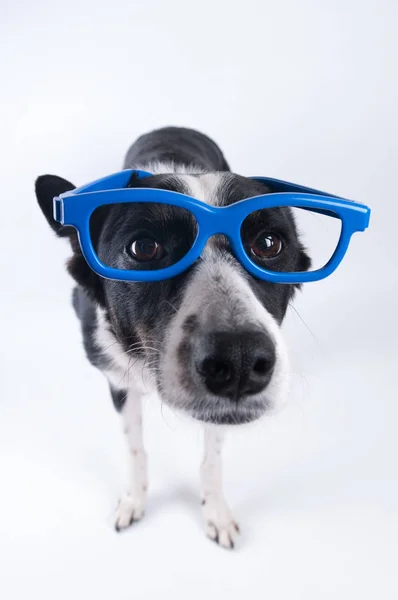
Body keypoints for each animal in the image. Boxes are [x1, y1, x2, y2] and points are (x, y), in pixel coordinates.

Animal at [35, 126, 310, 548]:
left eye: (268, 244)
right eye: (143, 247)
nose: (240, 359)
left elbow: (212, 456)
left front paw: (216, 511)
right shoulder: (117, 379)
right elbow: (135, 447)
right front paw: (133, 501)